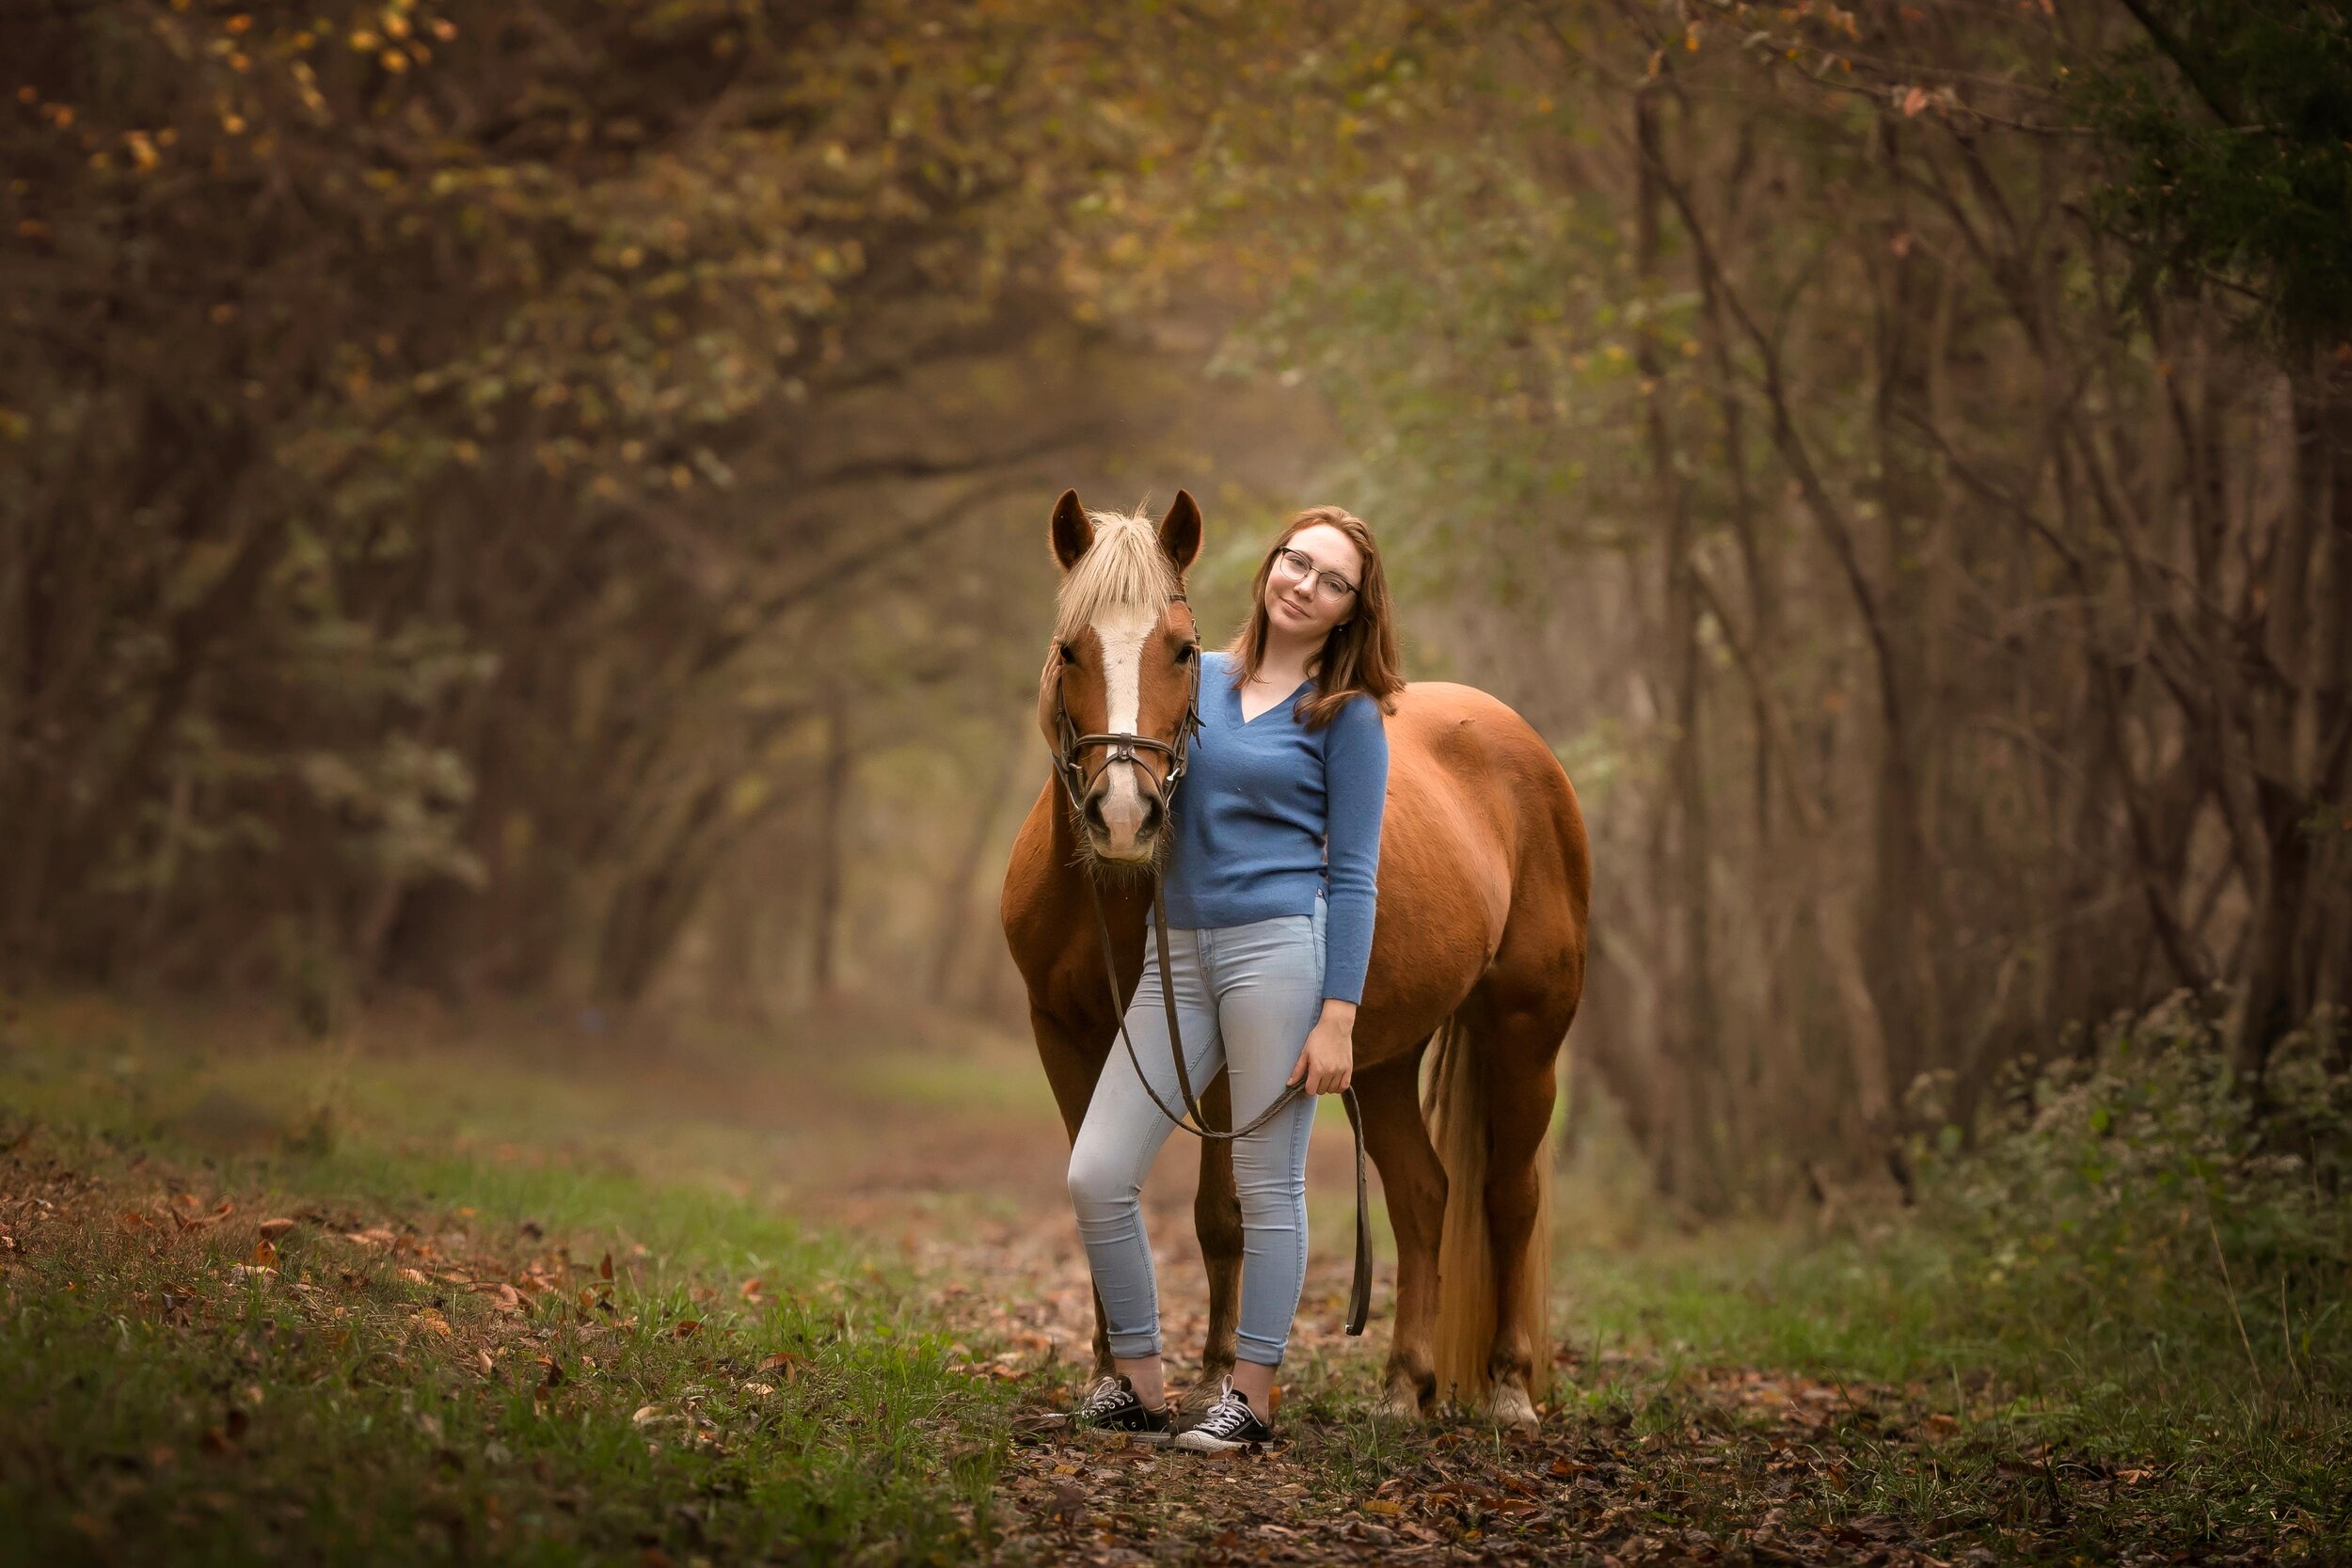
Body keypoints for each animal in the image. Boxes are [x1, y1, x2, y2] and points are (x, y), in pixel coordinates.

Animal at [993, 496, 1581, 1429]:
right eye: (1068, 648)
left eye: (1183, 649)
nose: (1123, 816)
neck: (1115, 895)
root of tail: (1524, 749)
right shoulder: (1065, 1036)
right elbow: (1094, 1188)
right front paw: (1111, 1375)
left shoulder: (1220, 1056)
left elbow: (1223, 1213)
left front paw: (1214, 1375)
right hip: (1380, 1059)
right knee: (1424, 1194)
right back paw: (1404, 1385)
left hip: (1527, 1033)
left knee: (1506, 1194)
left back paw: (1509, 1388)